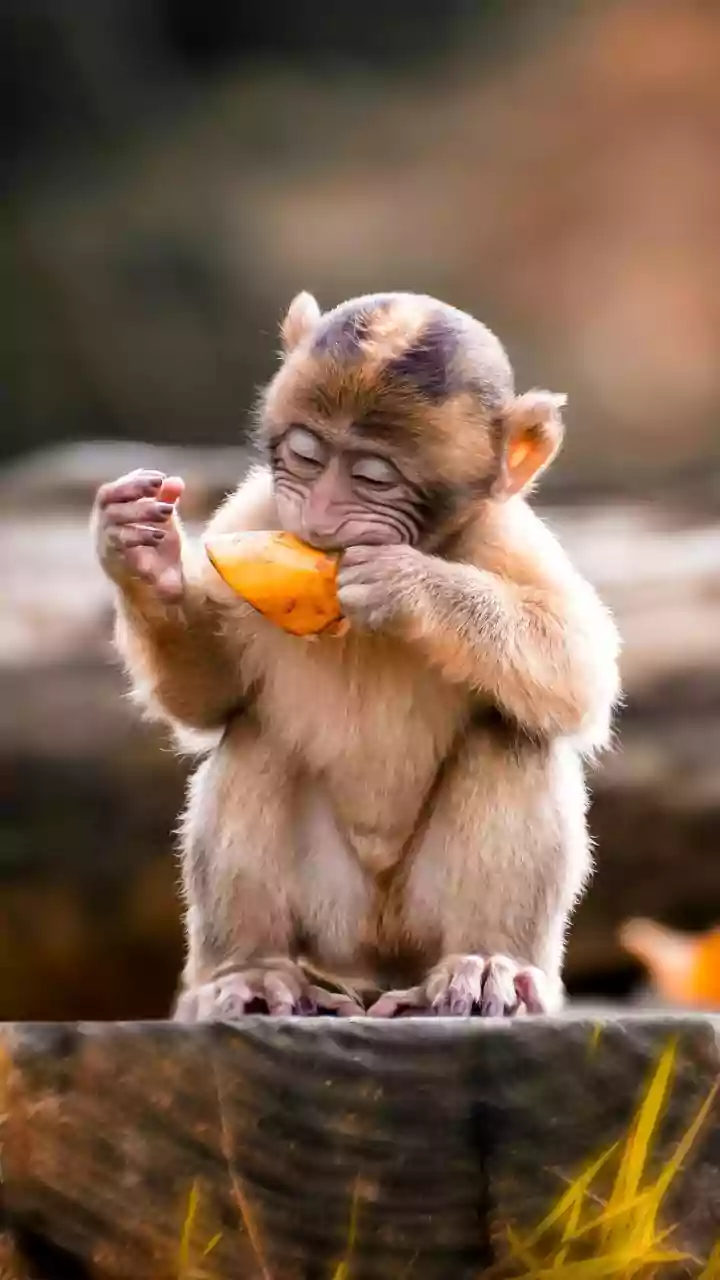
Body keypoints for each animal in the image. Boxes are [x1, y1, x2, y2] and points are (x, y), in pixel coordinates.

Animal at [91, 290, 621, 1021]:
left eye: (375, 478)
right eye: (306, 458)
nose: (319, 519)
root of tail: (376, 963)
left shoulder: (505, 537)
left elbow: (580, 672)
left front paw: (406, 584)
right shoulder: (255, 512)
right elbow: (210, 698)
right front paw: (145, 559)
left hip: (416, 922)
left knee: (514, 734)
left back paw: (488, 962)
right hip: (332, 920)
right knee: (258, 738)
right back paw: (252, 971)